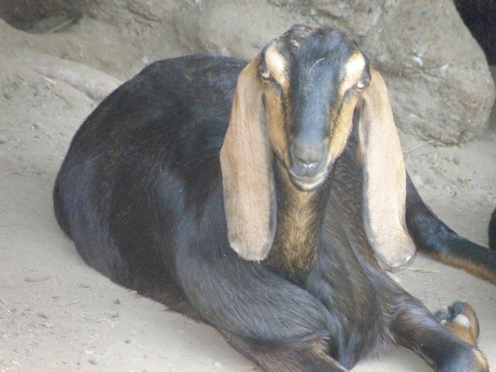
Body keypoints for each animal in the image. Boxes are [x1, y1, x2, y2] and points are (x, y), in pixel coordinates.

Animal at [53, 24, 488, 370]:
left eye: (359, 82)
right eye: (269, 74)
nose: (307, 156)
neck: (298, 272)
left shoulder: (387, 295)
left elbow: (461, 355)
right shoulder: (274, 342)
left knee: (431, 231)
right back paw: (459, 316)